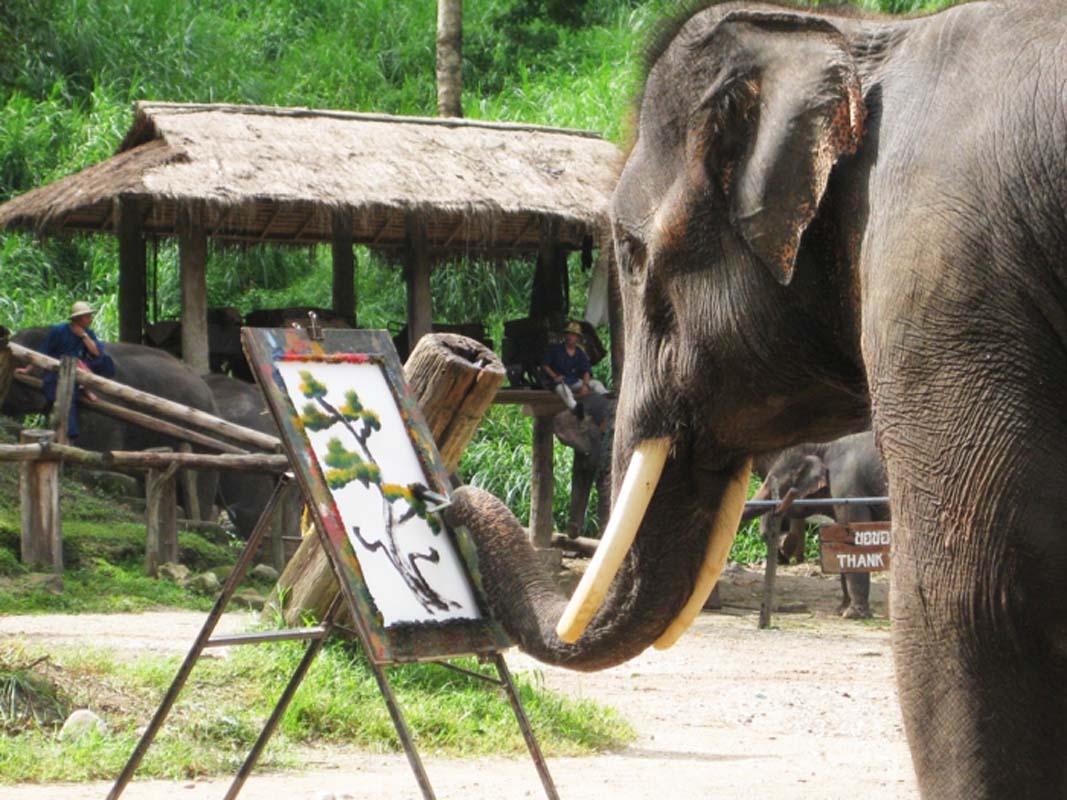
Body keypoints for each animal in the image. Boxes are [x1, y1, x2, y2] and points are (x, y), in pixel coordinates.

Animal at [756, 431, 888, 619]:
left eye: (774, 486)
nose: (784, 539)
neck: (823, 446)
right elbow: (840, 540)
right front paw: (841, 610)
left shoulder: (848, 490)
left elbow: (855, 539)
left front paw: (852, 614)